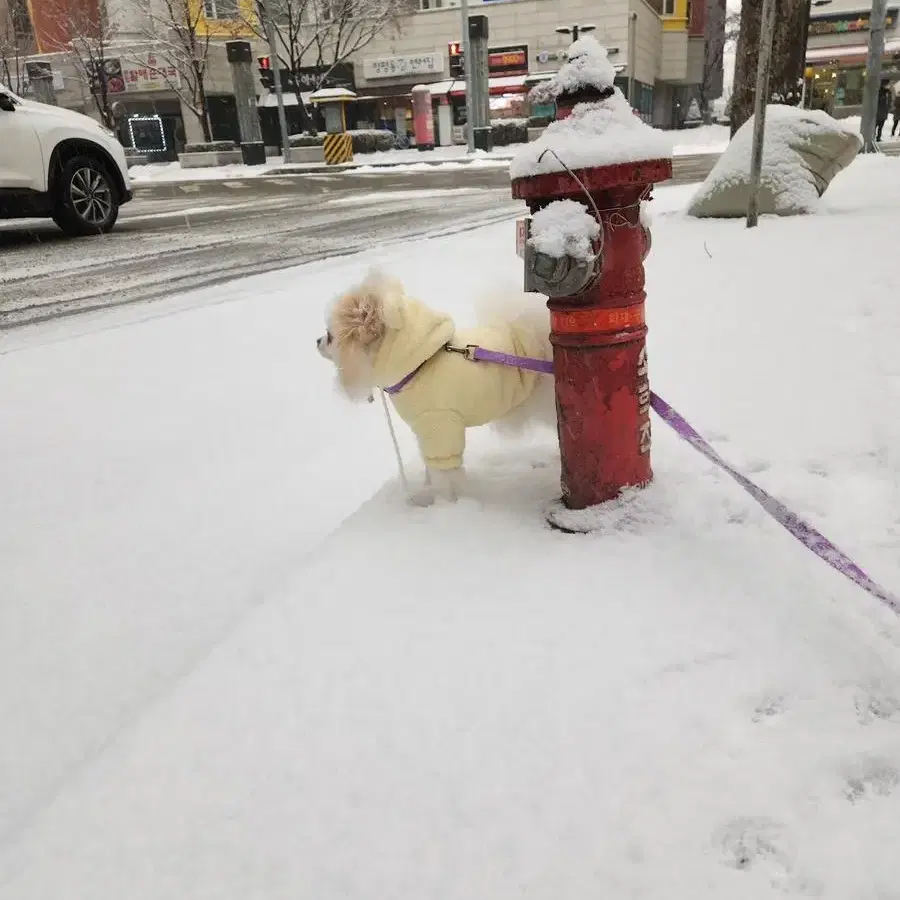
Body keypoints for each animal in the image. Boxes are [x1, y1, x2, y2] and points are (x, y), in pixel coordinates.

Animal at [316, 268, 556, 506]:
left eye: (330, 336)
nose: (316, 341)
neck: (418, 367)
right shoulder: (425, 431)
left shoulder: (439, 427)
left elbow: (445, 477)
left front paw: (447, 506)